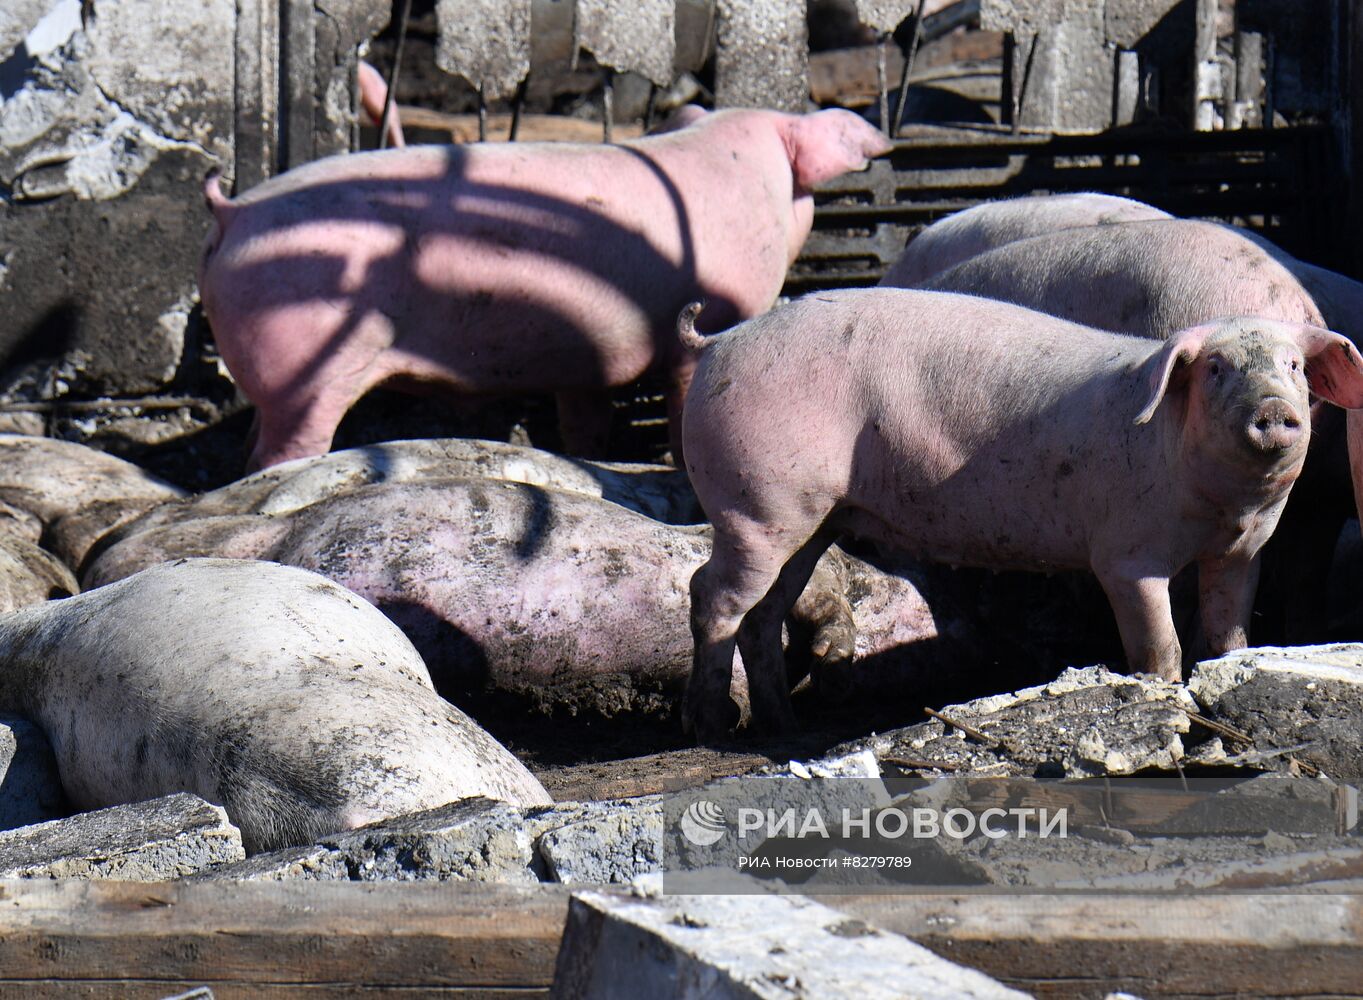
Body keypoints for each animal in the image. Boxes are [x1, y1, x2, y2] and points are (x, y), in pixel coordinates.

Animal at [681, 290, 1363, 746]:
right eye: (1216, 370)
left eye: (1293, 367)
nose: (1272, 409)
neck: (1220, 504)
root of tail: (719, 342)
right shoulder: (1125, 554)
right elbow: (1158, 643)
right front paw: (1166, 695)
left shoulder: (1242, 552)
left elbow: (1229, 637)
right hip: (756, 502)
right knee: (710, 594)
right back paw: (714, 724)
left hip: (810, 521)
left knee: (764, 610)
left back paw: (780, 725)